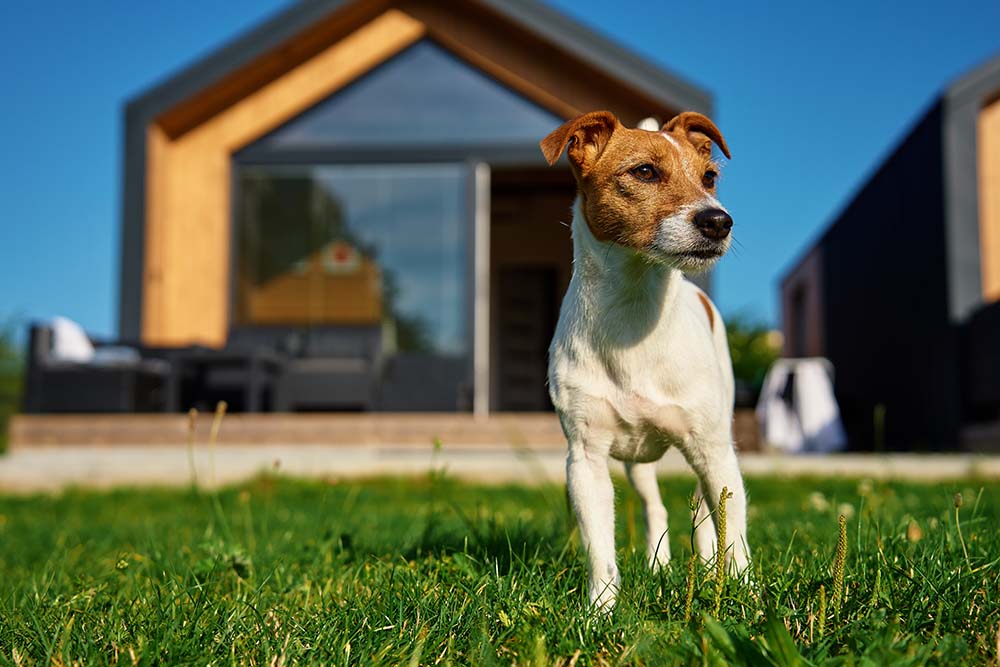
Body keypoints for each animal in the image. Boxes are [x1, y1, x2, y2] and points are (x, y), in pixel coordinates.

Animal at [540, 112, 752, 612]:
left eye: (709, 178)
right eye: (644, 172)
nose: (718, 220)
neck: (634, 309)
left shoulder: (715, 452)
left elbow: (734, 531)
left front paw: (746, 593)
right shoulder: (586, 460)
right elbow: (600, 547)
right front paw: (600, 611)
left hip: (713, 442)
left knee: (704, 511)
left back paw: (707, 566)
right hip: (637, 463)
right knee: (656, 507)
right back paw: (659, 566)